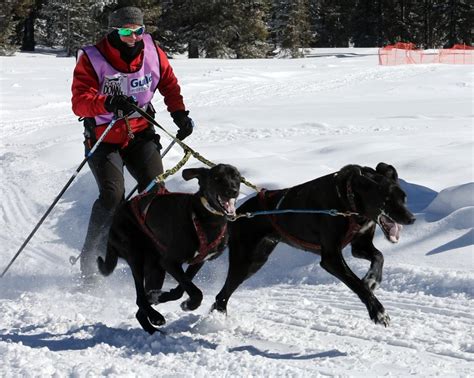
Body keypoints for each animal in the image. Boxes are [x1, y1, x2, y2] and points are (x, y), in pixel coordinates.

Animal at [211, 164, 414, 326]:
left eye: (404, 197)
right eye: (386, 199)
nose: (411, 218)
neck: (348, 200)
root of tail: (236, 214)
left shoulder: (359, 246)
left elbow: (379, 256)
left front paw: (372, 279)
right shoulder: (331, 258)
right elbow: (357, 284)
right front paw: (378, 312)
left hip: (257, 260)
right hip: (245, 262)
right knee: (222, 294)